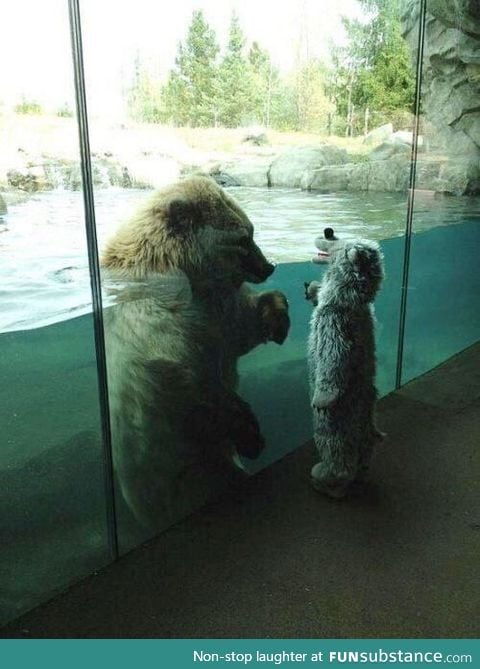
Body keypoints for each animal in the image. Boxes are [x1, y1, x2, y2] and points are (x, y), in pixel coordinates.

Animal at [101, 175, 288, 536]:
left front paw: (277, 317)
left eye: (251, 231)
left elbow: (242, 325)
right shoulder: (154, 323)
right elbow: (185, 380)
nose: (268, 267)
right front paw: (250, 433)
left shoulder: (216, 308)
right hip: (180, 480)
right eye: (244, 238)